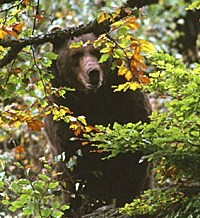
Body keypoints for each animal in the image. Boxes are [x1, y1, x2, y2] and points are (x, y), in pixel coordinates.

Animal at [45, 32, 152, 216]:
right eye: (76, 55)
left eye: (97, 51)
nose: (93, 72)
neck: (93, 99)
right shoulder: (66, 116)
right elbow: (78, 164)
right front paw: (92, 202)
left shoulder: (127, 102)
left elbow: (133, 157)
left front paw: (127, 198)